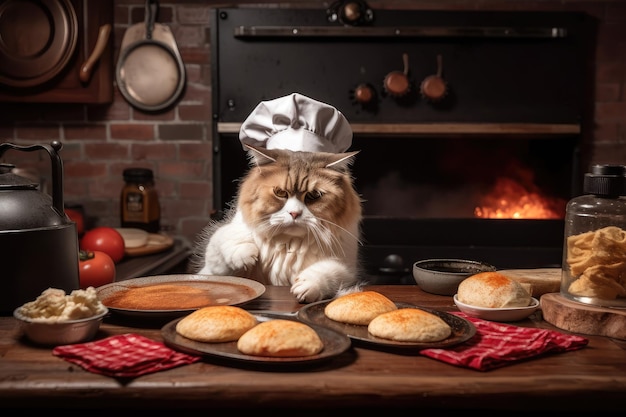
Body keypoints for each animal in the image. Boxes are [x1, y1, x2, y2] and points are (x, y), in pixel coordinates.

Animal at [190, 143, 366, 302]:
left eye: (314, 196)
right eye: (280, 193)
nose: (294, 213)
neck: (288, 243)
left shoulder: (347, 268)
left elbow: (326, 272)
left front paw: (306, 287)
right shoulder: (212, 268)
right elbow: (226, 241)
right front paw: (245, 256)